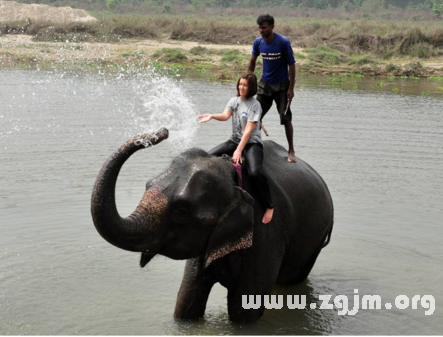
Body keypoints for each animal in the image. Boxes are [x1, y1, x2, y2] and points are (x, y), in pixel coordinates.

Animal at [91, 127, 332, 322]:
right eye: (148, 185)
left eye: (181, 212)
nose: (163, 131)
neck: (233, 178)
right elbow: (186, 301)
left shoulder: (266, 233)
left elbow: (244, 312)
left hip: (317, 241)